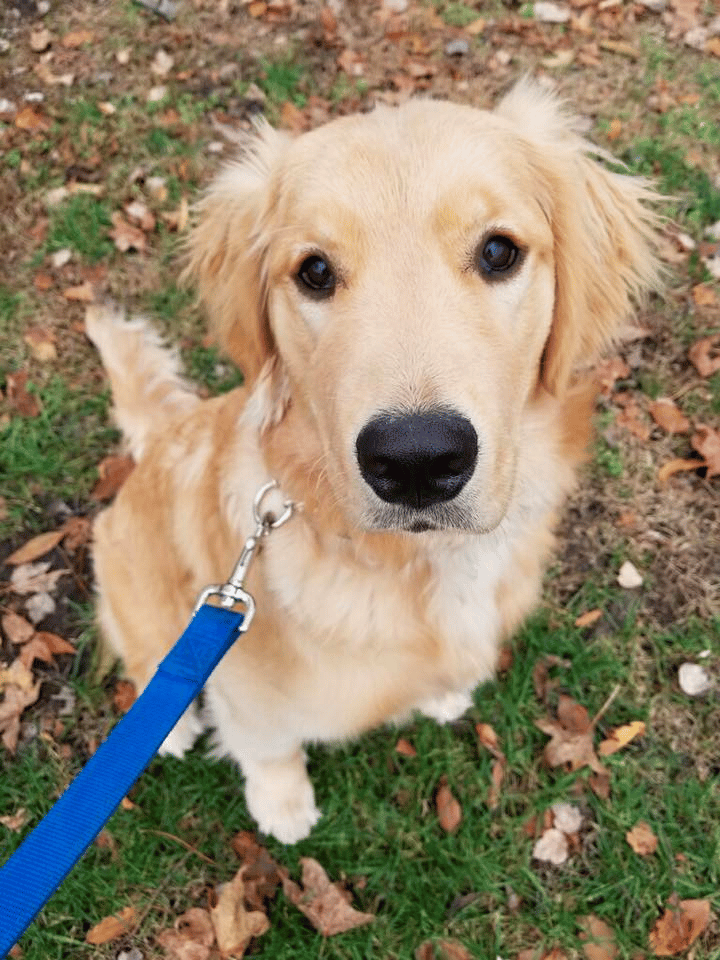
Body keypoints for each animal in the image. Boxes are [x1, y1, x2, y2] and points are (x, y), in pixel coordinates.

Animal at [87, 80, 660, 840]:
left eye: (499, 251)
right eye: (314, 271)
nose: (417, 459)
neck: (424, 566)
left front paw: (443, 696)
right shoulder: (247, 678)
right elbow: (267, 747)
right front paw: (283, 805)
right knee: (147, 651)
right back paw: (170, 723)